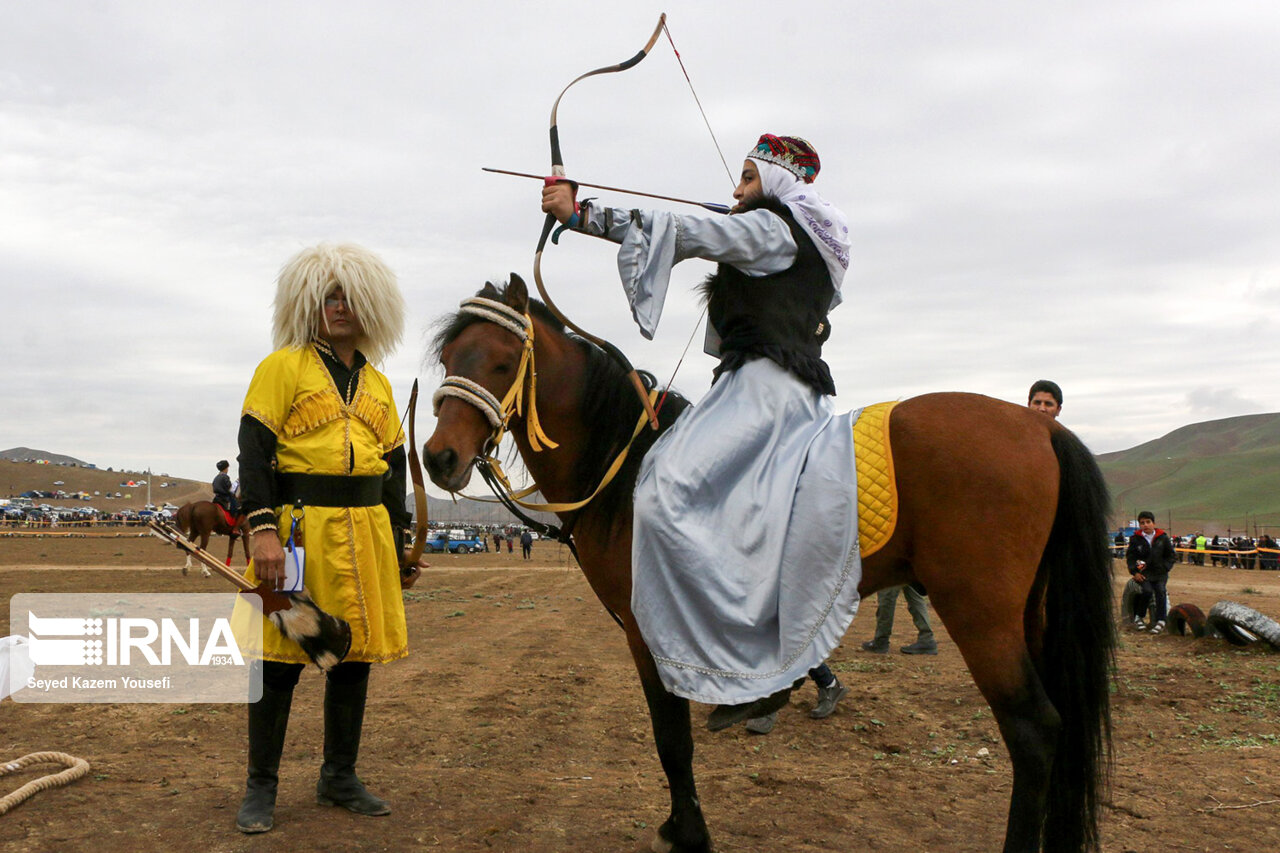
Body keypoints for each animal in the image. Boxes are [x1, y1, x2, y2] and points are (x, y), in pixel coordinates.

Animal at [424, 277, 1116, 850]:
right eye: (449, 358)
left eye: (503, 361)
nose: (438, 459)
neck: (626, 469)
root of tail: (1041, 428)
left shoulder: (651, 631)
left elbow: (671, 738)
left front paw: (689, 831)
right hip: (1029, 614)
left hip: (980, 614)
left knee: (1033, 731)